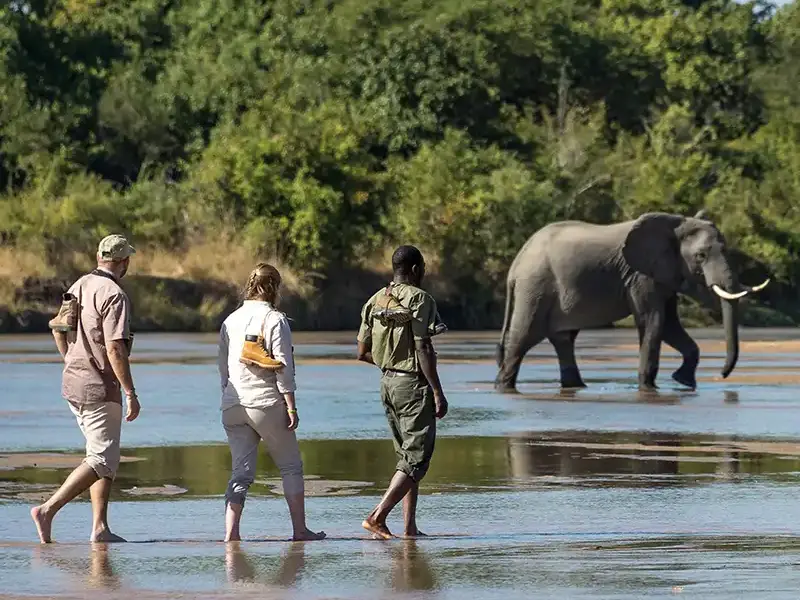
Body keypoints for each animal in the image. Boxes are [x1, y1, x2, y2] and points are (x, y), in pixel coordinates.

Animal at [494, 210, 770, 393]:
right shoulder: (640, 275)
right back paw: (502, 387)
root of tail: (515, 265)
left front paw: (684, 382)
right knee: (522, 338)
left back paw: (577, 387)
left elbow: (669, 325)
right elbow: (654, 322)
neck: (676, 223)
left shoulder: (662, 275)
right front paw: (649, 388)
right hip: (535, 288)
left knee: (564, 340)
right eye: (701, 256)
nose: (721, 375)